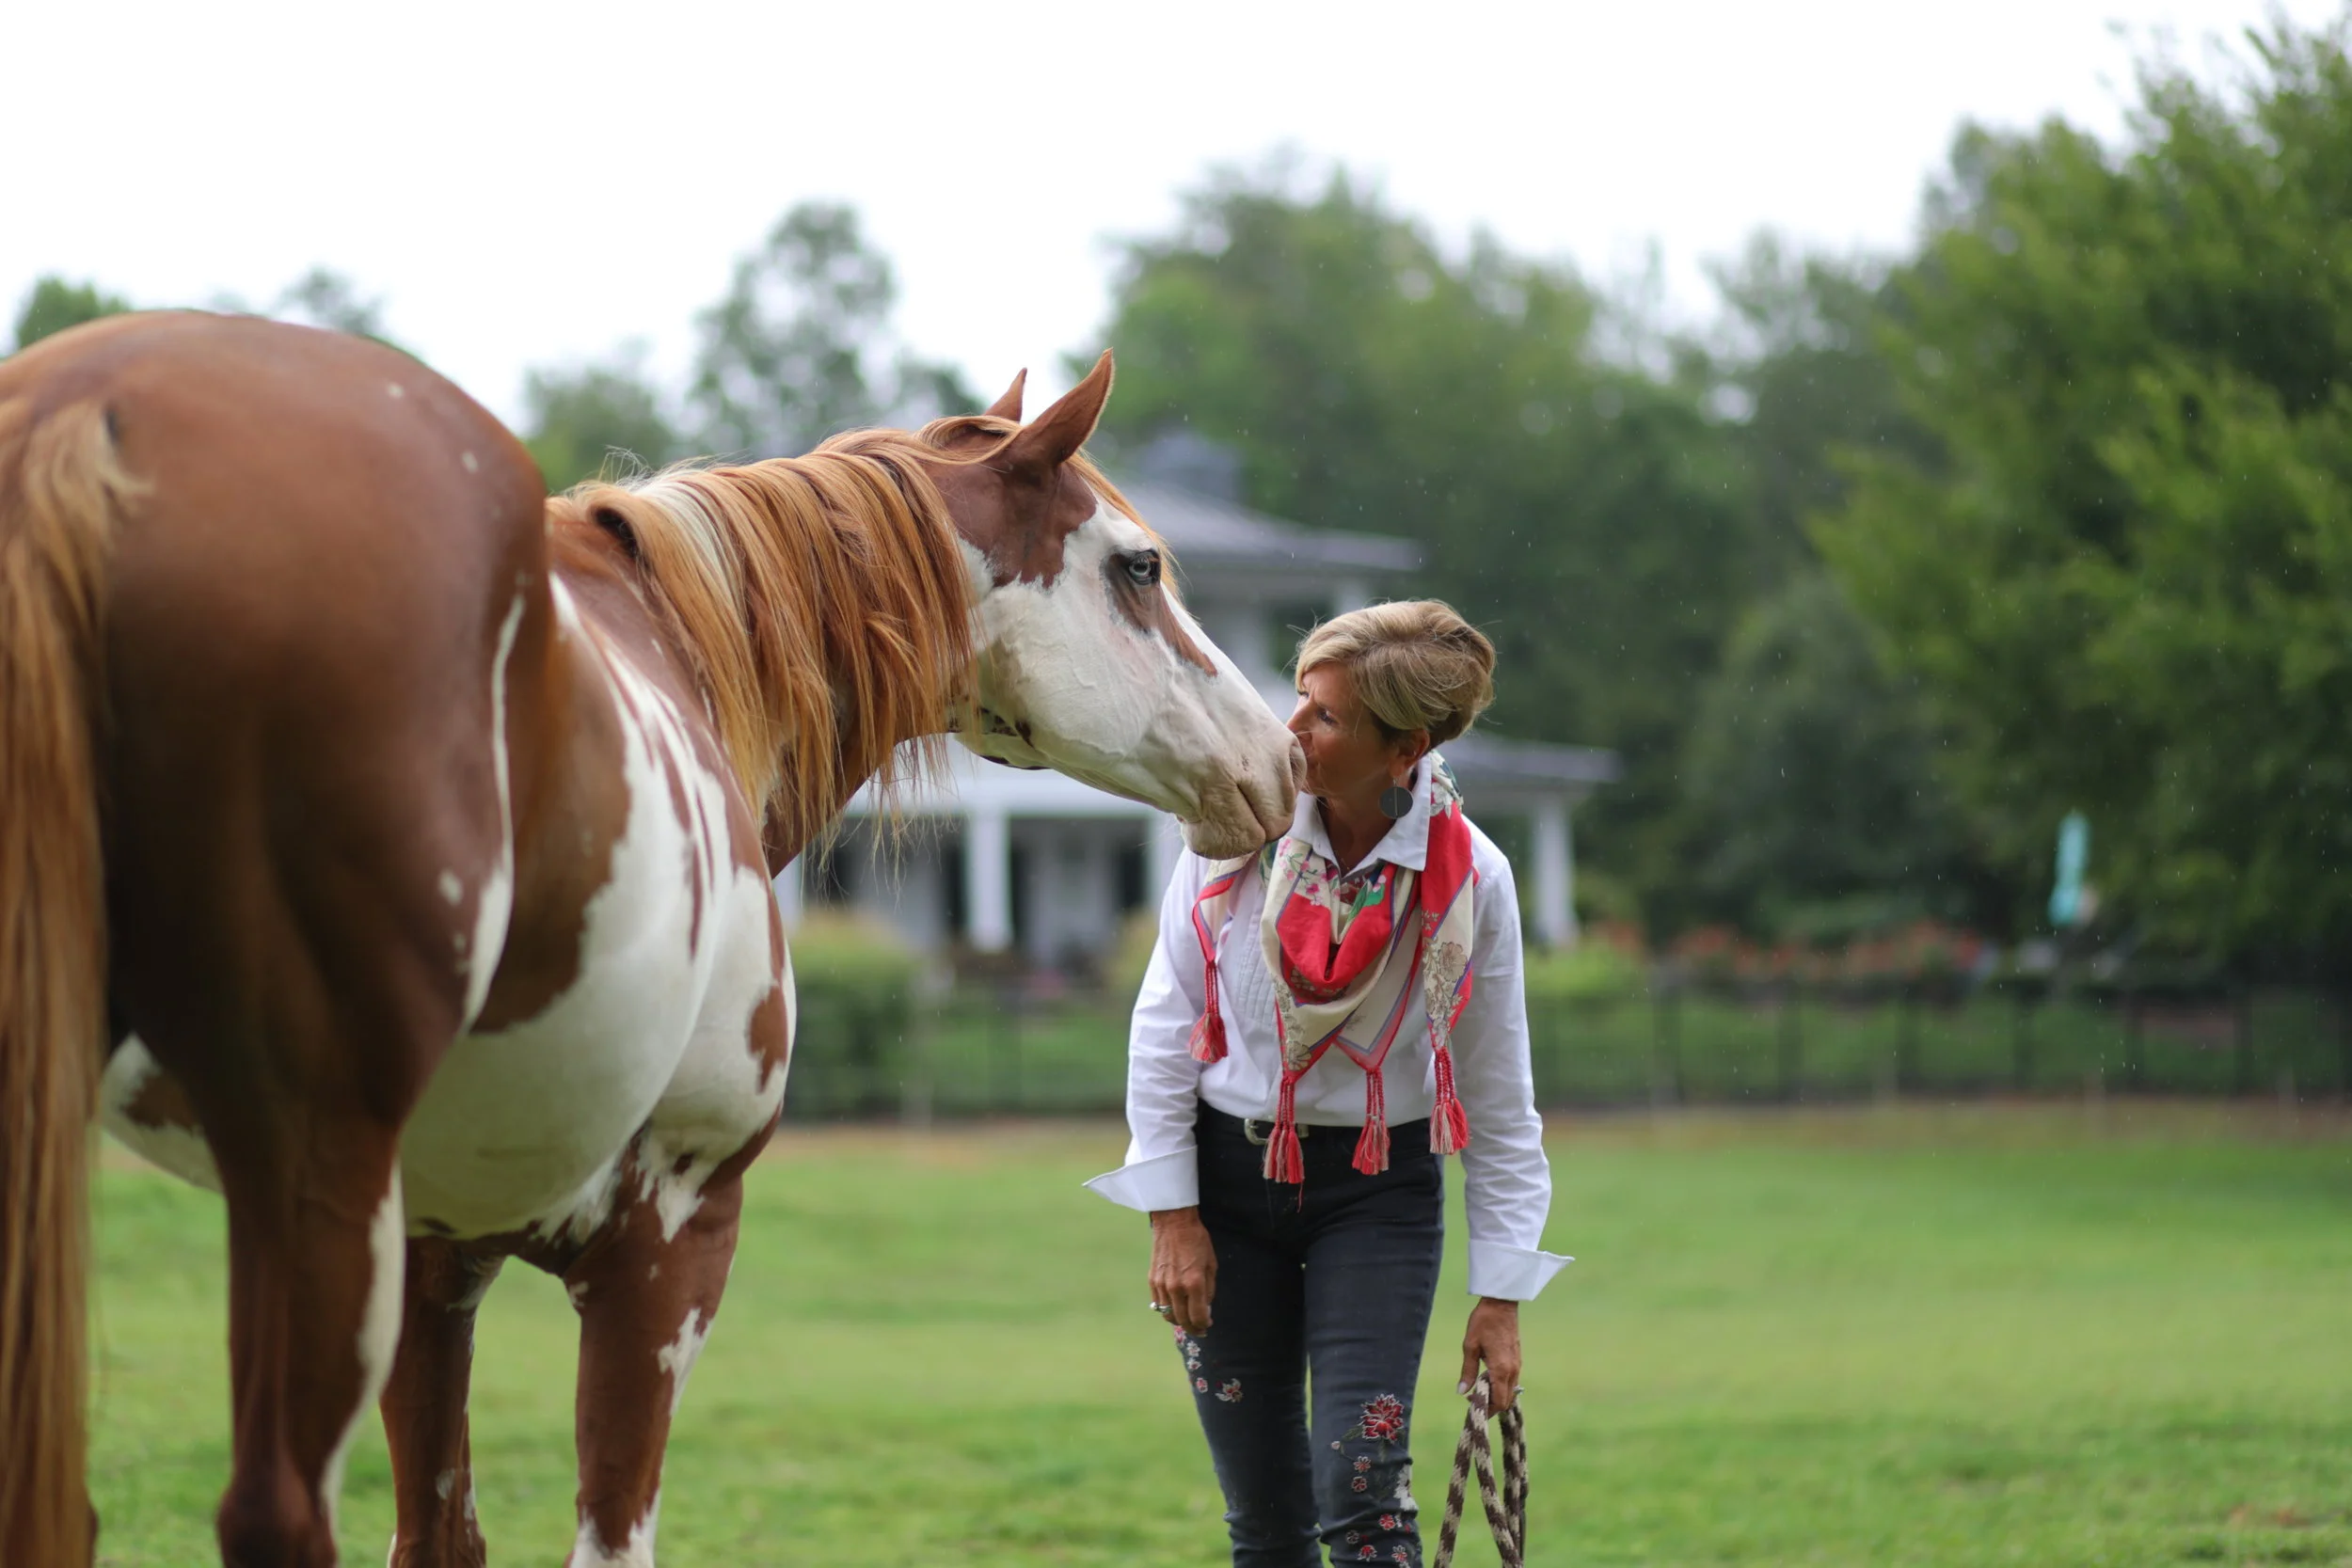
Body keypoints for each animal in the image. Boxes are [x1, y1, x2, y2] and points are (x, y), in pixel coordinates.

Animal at [0, 312, 1302, 1567]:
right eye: (1137, 566)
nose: (1277, 758)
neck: (677, 653)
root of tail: (88, 413)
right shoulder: (667, 1241)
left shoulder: (434, 1263)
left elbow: (438, 1533)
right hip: (317, 1181)